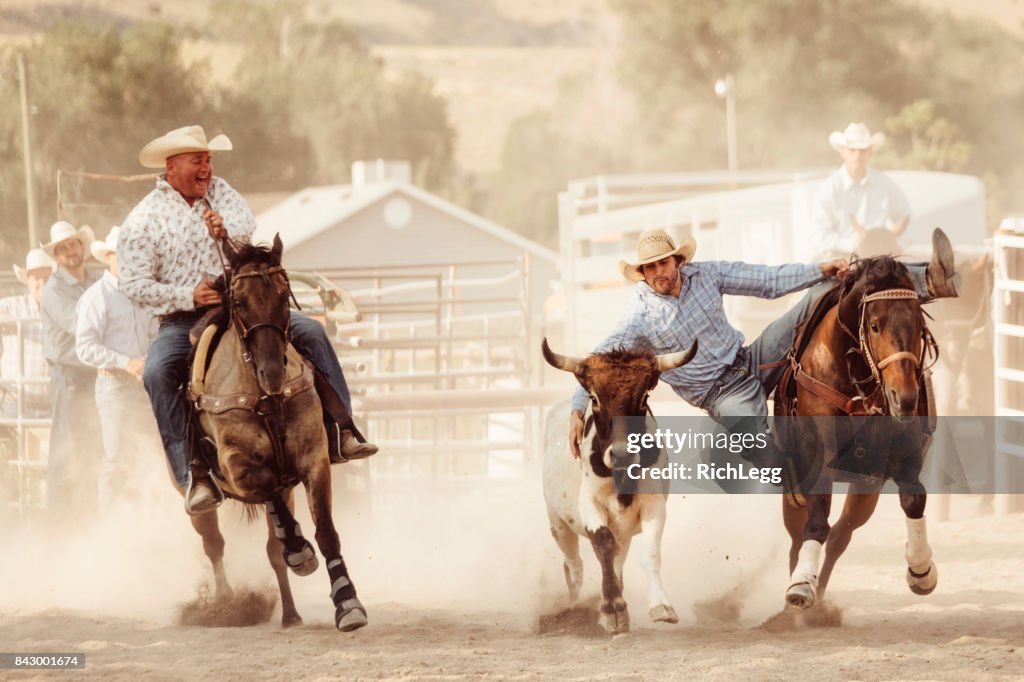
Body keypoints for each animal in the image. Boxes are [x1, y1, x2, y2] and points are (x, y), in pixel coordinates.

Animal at [186, 236, 366, 630]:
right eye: (238, 302)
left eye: (285, 298)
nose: (272, 374)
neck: (264, 396)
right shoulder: (237, 467)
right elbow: (265, 485)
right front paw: (300, 551)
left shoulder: (314, 460)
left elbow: (325, 532)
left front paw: (347, 602)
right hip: (201, 501)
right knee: (214, 544)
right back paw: (226, 603)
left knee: (271, 548)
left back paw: (291, 614)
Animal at [778, 253, 937, 606]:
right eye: (875, 325)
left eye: (919, 326)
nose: (904, 397)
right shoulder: (817, 457)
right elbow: (817, 520)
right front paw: (801, 585)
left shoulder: (900, 453)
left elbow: (914, 499)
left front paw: (921, 571)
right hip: (793, 493)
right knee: (798, 539)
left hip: (865, 488)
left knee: (841, 535)